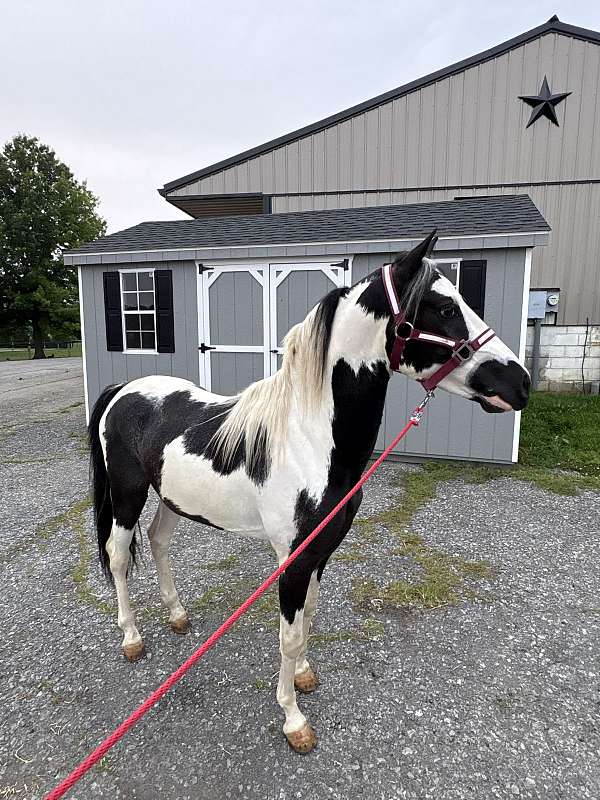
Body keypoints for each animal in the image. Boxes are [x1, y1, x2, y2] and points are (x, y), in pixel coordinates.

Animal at [88, 231, 530, 753]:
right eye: (443, 307)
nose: (519, 383)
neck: (311, 439)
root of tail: (124, 389)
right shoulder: (293, 560)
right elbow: (289, 634)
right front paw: (293, 720)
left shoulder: (322, 550)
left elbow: (308, 620)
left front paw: (302, 677)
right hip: (127, 495)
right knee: (118, 555)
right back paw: (131, 638)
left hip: (172, 498)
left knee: (158, 542)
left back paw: (177, 615)